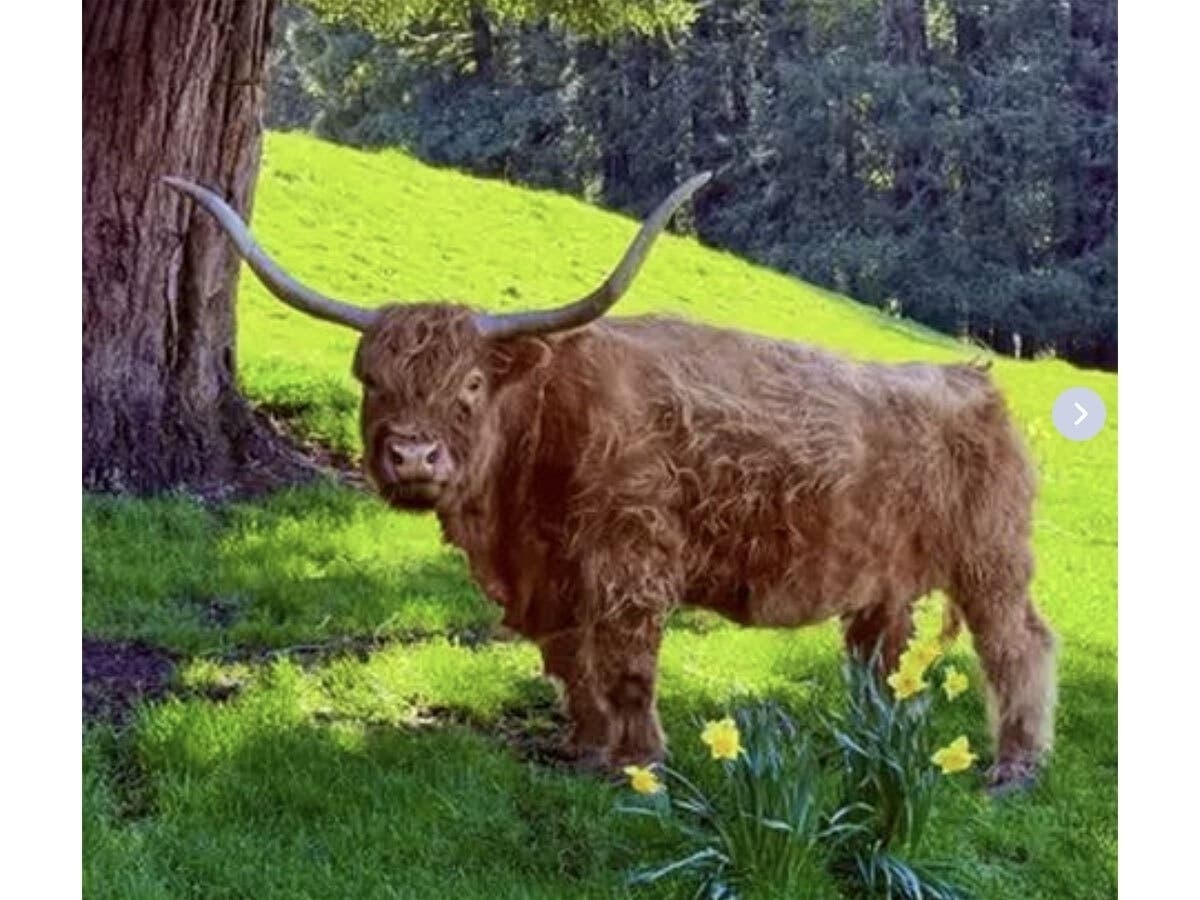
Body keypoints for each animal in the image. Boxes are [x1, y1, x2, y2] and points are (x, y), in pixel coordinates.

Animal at [163, 174, 1056, 793]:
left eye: (471, 384)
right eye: (373, 381)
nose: (413, 458)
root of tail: (972, 378)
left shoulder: (630, 565)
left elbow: (626, 666)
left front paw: (642, 766)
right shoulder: (549, 582)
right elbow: (570, 665)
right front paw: (586, 751)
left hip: (991, 558)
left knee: (1019, 645)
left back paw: (1013, 769)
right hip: (884, 577)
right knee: (879, 656)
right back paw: (864, 738)